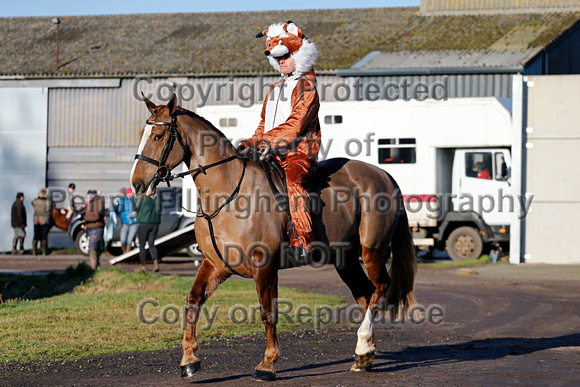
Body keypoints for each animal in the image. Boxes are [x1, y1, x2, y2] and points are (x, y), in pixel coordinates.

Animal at [130, 94, 416, 382]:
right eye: (142, 133)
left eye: (158, 136)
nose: (137, 184)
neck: (227, 194)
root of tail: (384, 175)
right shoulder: (215, 265)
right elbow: (193, 300)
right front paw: (189, 359)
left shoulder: (264, 265)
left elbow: (268, 312)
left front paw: (267, 363)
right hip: (344, 259)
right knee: (365, 295)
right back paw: (364, 353)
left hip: (372, 249)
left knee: (380, 287)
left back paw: (363, 344)